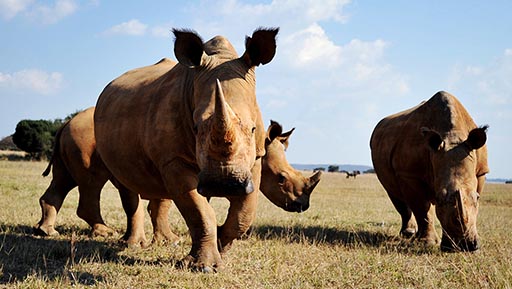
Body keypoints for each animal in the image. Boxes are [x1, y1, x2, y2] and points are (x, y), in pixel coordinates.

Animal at [372, 91, 488, 251]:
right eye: (439, 199)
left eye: (477, 198)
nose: (464, 246)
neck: (453, 135)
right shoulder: (409, 174)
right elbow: (422, 208)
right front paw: (428, 243)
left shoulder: (481, 171)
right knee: (394, 193)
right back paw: (409, 234)